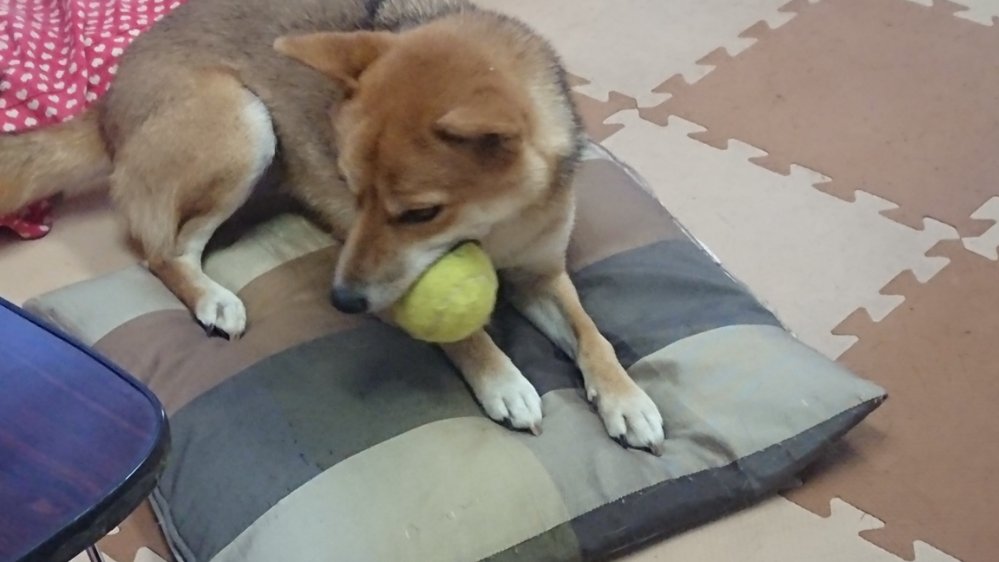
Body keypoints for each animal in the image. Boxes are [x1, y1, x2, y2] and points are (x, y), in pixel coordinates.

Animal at [0, 0, 666, 454]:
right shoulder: (393, 283)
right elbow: (463, 334)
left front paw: (626, 398)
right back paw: (213, 300)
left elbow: (591, 334)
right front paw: (502, 377)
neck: (495, 226)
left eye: (419, 212)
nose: (342, 301)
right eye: (351, 186)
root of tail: (106, 105)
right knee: (162, 251)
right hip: (245, 123)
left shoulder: (541, 273)